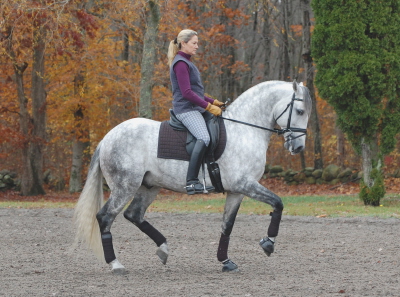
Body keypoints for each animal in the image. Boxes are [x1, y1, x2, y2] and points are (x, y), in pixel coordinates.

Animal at [75, 79, 312, 272]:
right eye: (300, 111)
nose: (299, 147)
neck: (245, 130)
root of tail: (107, 138)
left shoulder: (236, 191)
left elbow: (227, 225)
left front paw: (226, 261)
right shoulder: (245, 184)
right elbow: (278, 203)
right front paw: (268, 243)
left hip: (148, 186)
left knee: (134, 215)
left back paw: (163, 249)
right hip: (125, 186)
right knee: (106, 217)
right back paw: (116, 264)